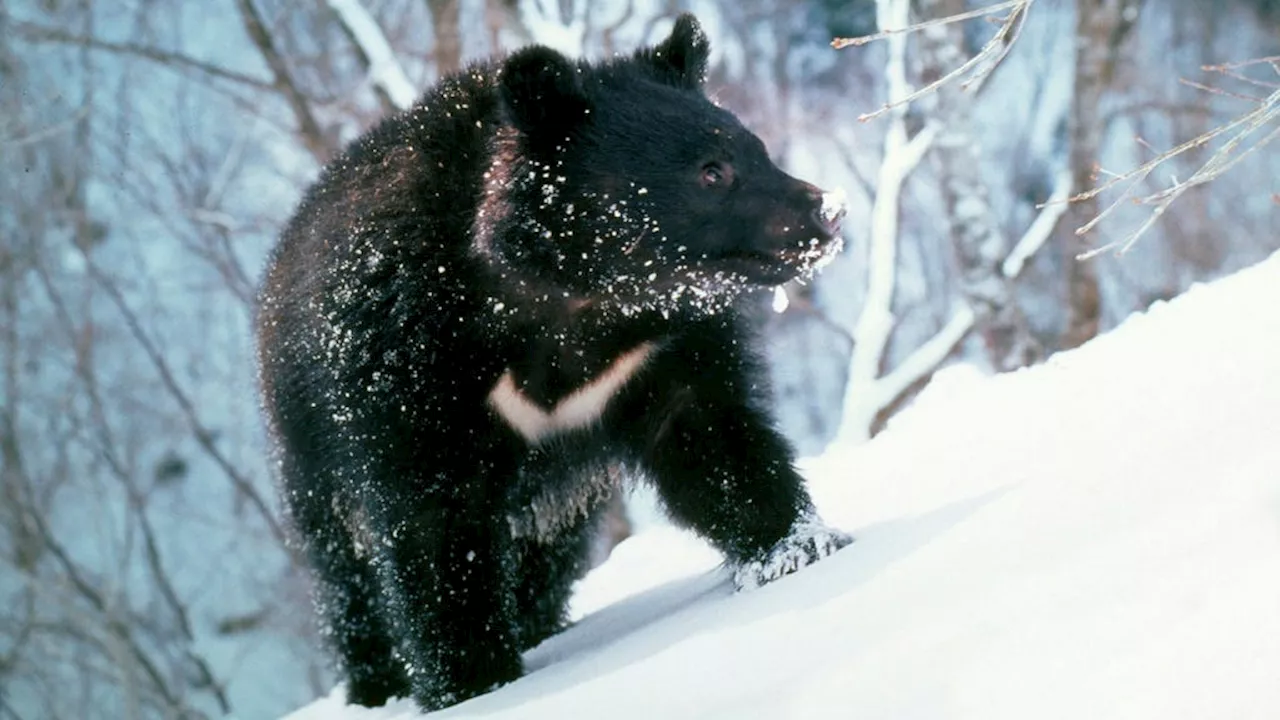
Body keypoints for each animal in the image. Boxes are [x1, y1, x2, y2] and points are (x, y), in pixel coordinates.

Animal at [256, 14, 849, 707]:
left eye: (757, 149)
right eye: (712, 172)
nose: (829, 212)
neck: (564, 297)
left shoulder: (654, 350)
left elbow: (714, 439)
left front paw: (798, 548)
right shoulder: (403, 366)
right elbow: (434, 529)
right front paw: (472, 682)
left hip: (558, 501)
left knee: (544, 552)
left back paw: (538, 627)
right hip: (308, 447)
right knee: (343, 572)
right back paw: (376, 682)